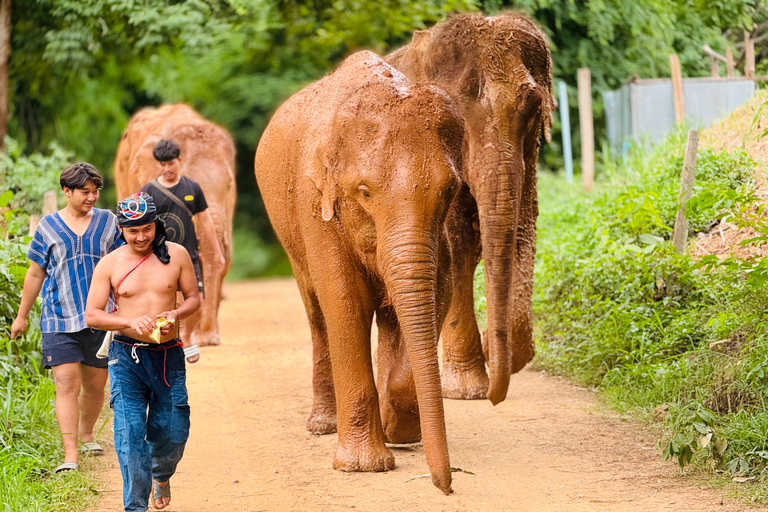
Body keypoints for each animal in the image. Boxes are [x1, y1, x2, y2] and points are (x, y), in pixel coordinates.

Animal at [255, 50, 464, 494]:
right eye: (364, 193)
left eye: (450, 191)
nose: (447, 485)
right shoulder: (313, 198)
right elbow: (344, 298)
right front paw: (362, 466)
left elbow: (440, 286)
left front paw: (400, 430)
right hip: (289, 235)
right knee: (317, 312)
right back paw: (322, 426)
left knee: (388, 318)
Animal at [388, 13, 556, 404]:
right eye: (453, 113)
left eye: (533, 107)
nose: (496, 397)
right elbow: (458, 242)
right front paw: (467, 390)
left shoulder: (529, 150)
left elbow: (523, 224)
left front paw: (496, 350)